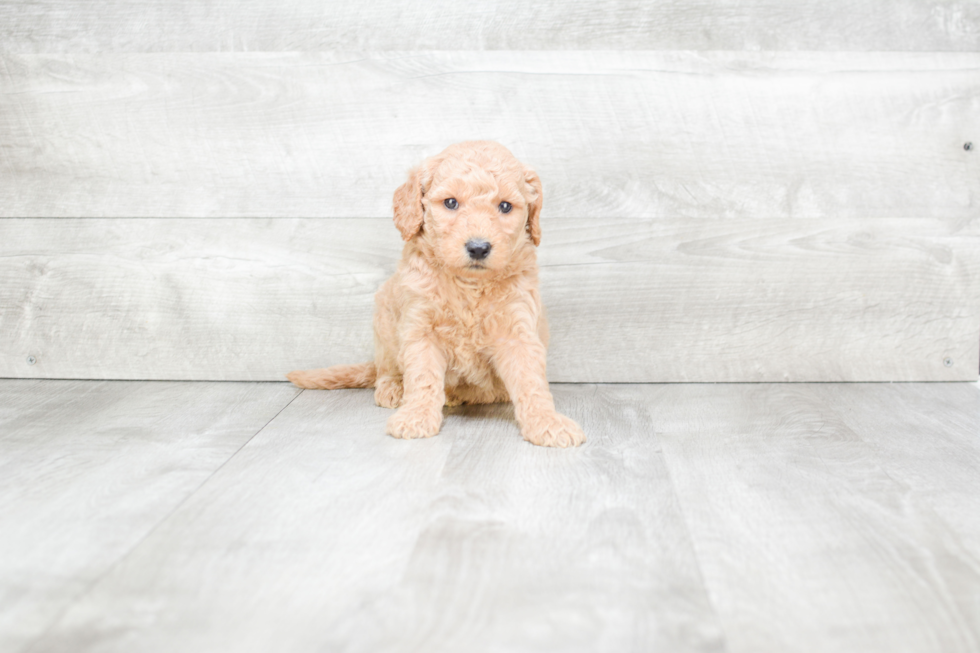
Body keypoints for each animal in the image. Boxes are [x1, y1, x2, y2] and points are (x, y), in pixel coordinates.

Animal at [288, 141, 584, 448]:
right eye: (451, 203)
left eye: (505, 206)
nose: (478, 248)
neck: (469, 284)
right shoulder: (420, 327)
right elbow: (423, 376)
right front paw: (416, 416)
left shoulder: (518, 328)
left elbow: (530, 380)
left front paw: (547, 422)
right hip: (385, 321)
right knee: (385, 369)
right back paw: (394, 388)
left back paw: (459, 394)